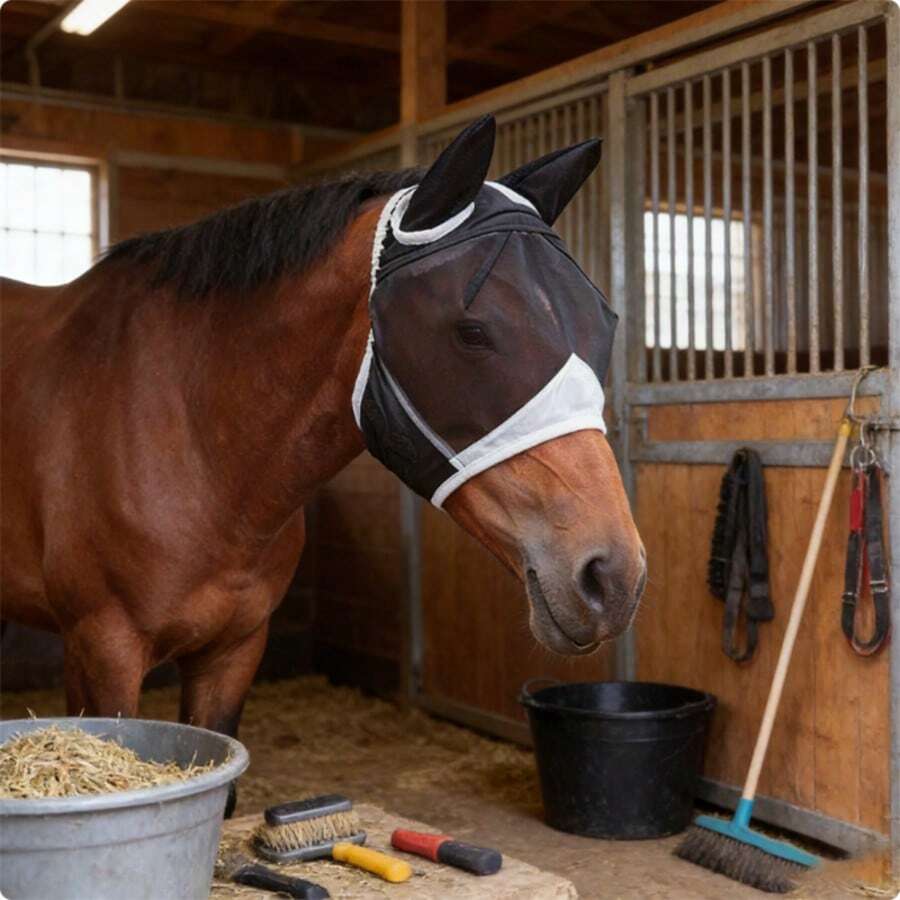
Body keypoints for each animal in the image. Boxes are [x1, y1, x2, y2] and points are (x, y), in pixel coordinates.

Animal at [1, 115, 645, 811]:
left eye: (605, 322)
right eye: (471, 331)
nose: (614, 577)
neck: (193, 435)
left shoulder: (233, 651)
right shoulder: (105, 649)